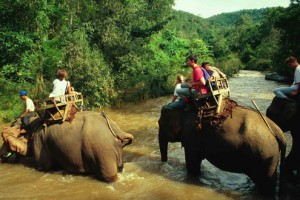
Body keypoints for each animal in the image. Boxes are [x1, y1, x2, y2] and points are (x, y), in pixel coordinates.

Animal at [0, 111, 134, 183]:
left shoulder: (39, 142)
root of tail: (117, 130)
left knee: (109, 176)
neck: (33, 121)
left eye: (5, 138)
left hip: (103, 151)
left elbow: (43, 167)